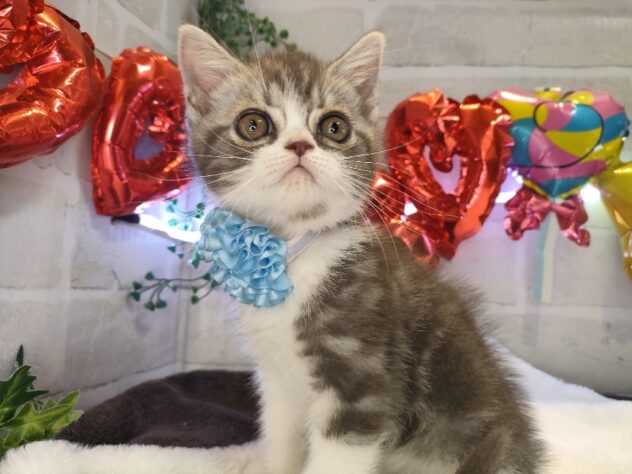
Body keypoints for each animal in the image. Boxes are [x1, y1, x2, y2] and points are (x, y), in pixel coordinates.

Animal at [176, 24, 544, 474]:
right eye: (253, 124)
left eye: (334, 127)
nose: (300, 145)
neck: (295, 251)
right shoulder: (277, 380)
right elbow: (281, 442)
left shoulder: (360, 378)